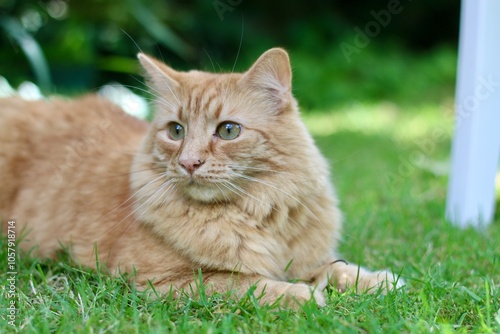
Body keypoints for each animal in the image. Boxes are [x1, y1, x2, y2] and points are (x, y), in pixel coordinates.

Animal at [0, 48, 402, 306]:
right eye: (176, 131)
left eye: (228, 130)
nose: (189, 162)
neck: (257, 213)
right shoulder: (162, 282)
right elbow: (245, 283)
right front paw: (300, 294)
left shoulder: (307, 258)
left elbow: (336, 268)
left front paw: (378, 281)